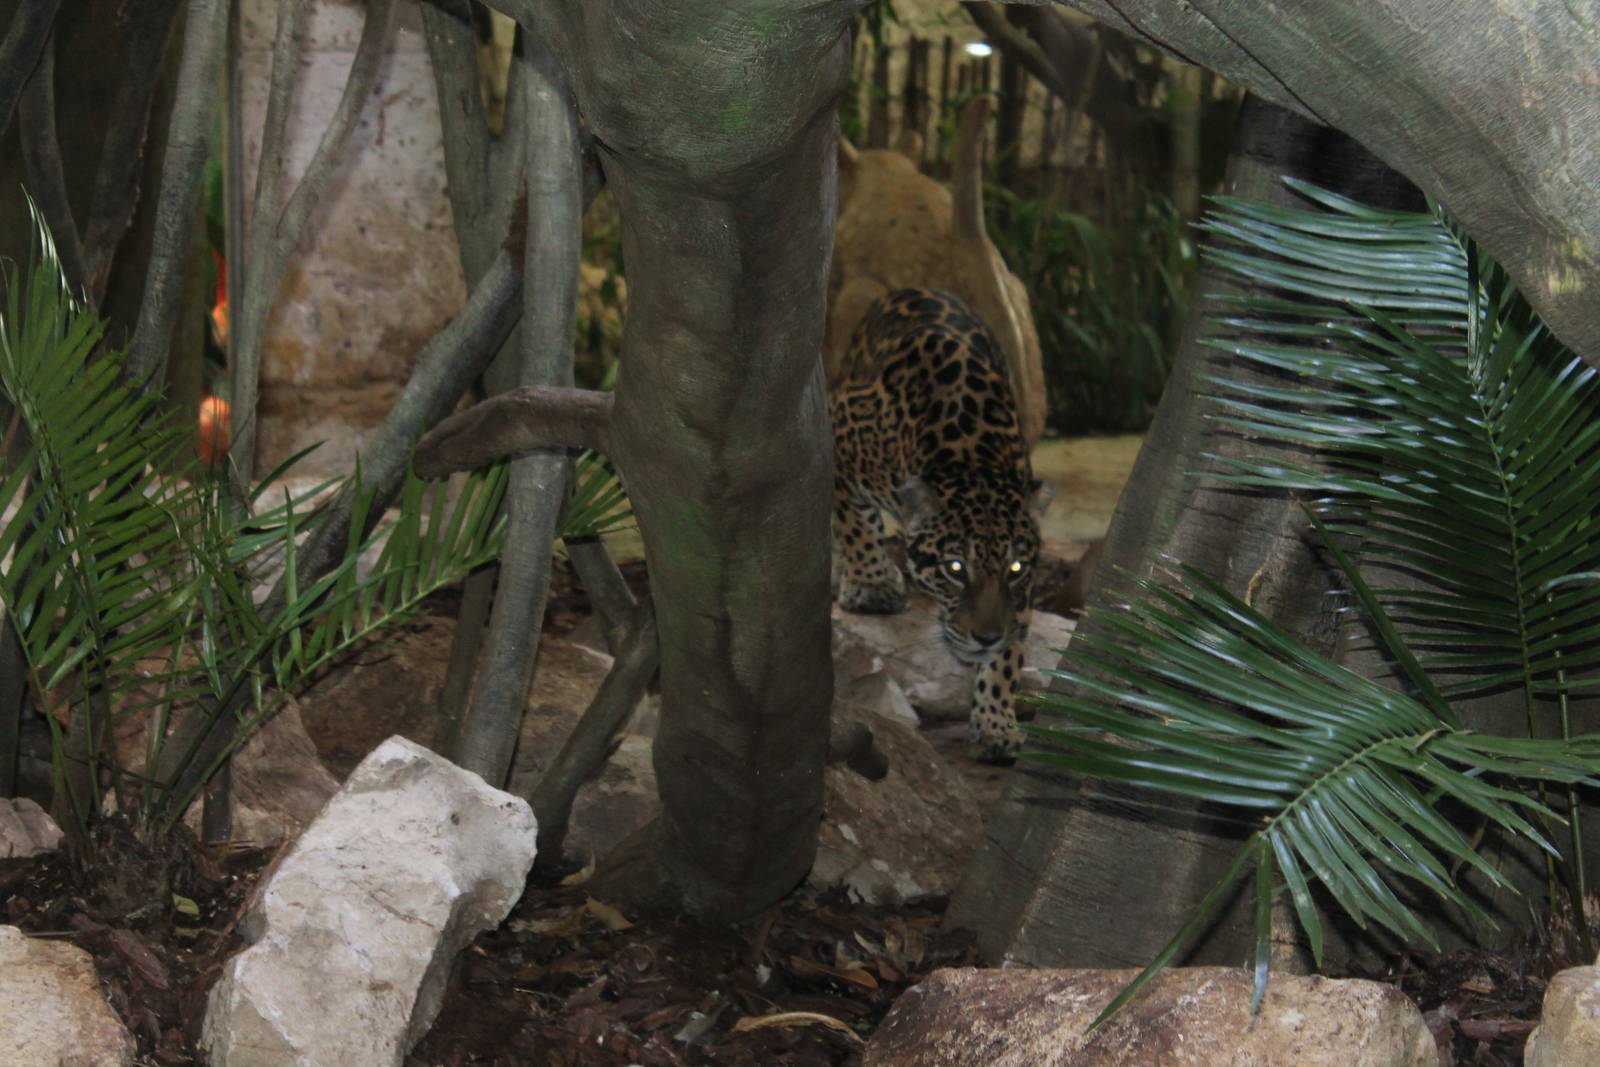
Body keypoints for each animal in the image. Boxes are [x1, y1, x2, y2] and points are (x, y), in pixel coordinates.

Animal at [830, 286, 1048, 763]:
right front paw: (873, 585)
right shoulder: (836, 428)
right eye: (955, 569)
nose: (985, 637)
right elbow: (853, 522)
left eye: (1015, 569)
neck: (973, 458)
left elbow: (1011, 652)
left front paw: (995, 724)